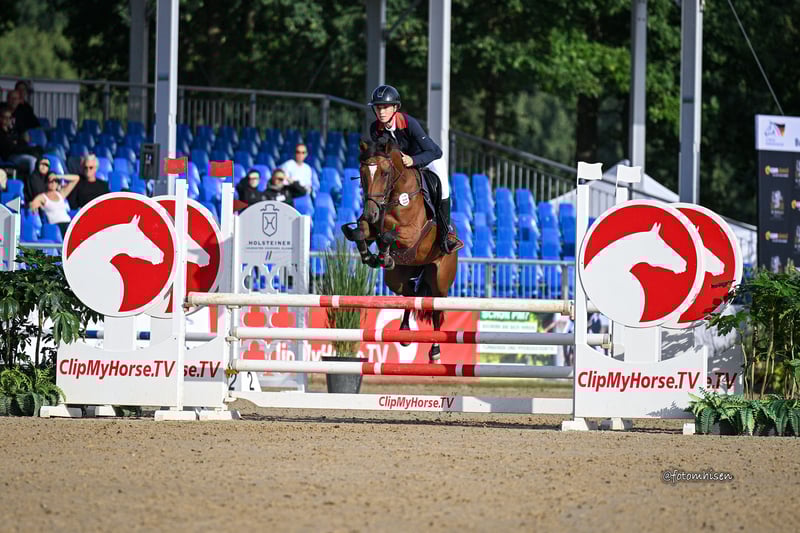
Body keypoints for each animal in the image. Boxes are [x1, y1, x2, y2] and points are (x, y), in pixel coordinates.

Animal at [341, 138, 461, 362]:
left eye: (385, 173)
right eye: (362, 173)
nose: (371, 213)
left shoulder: (411, 233)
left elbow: (389, 235)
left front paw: (381, 253)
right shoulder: (371, 225)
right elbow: (362, 232)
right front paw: (372, 256)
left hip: (440, 279)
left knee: (435, 307)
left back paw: (435, 351)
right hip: (397, 277)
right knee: (409, 293)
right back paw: (404, 331)